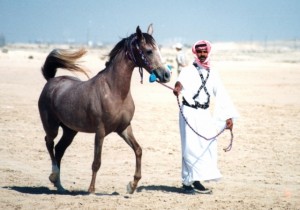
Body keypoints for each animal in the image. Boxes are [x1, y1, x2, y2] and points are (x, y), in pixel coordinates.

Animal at [37, 24, 170, 194]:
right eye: (148, 51)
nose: (166, 74)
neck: (114, 91)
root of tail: (52, 81)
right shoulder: (100, 131)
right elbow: (97, 161)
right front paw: (91, 190)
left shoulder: (124, 128)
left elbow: (138, 150)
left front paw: (132, 185)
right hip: (52, 126)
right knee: (49, 143)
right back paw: (54, 175)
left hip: (70, 130)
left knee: (59, 149)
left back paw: (60, 186)